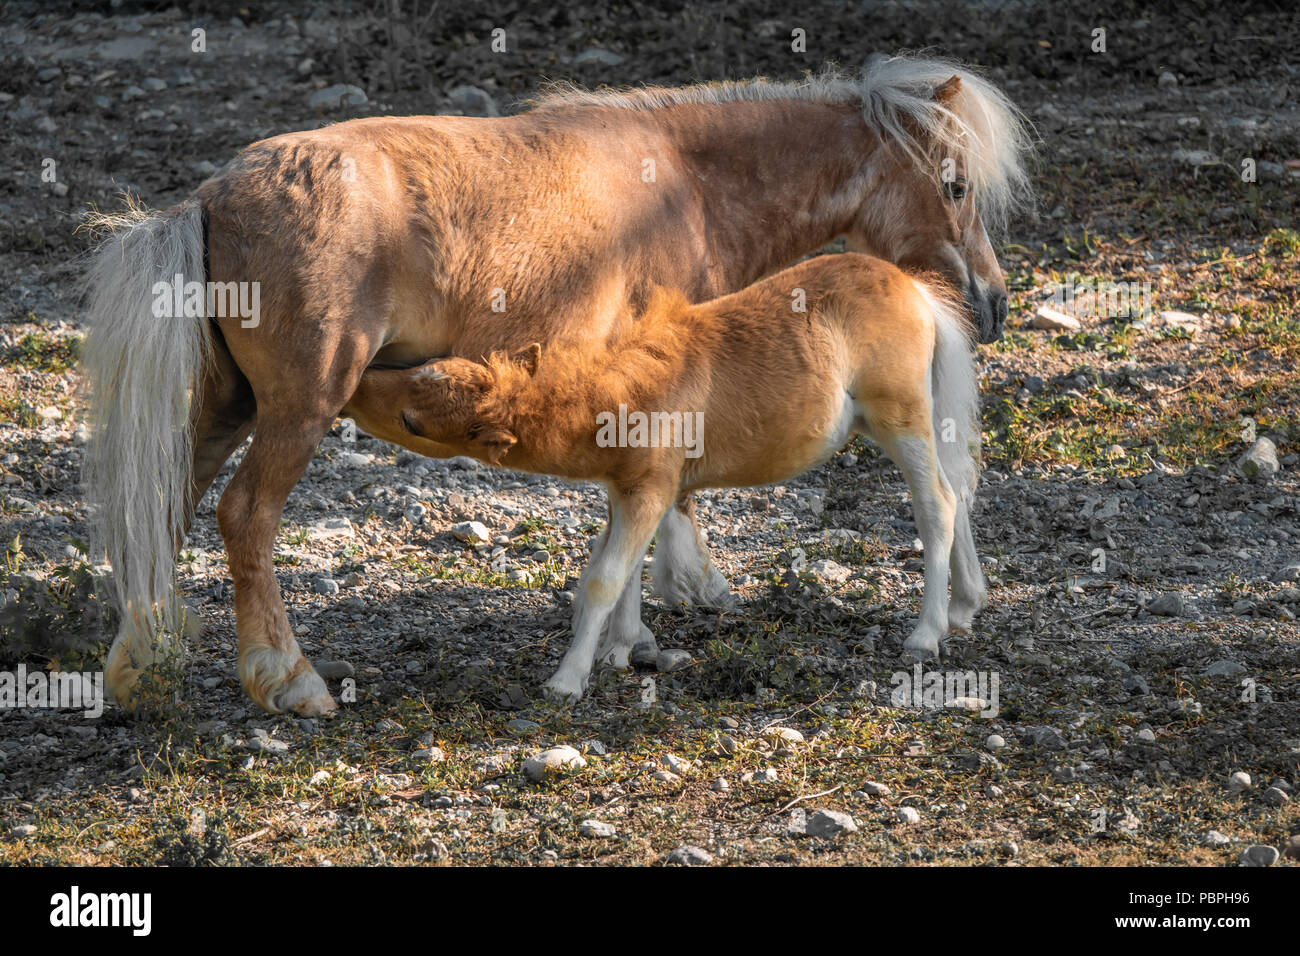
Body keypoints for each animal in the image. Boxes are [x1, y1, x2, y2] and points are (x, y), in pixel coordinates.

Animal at [343, 252, 982, 699]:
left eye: (412, 421)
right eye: (424, 368)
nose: (356, 383)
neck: (621, 395)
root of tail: (915, 288)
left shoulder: (650, 491)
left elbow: (603, 579)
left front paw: (568, 679)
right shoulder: (626, 492)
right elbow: (618, 572)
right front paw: (622, 650)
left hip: (899, 420)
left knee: (938, 504)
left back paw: (926, 633)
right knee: (957, 491)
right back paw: (965, 607)